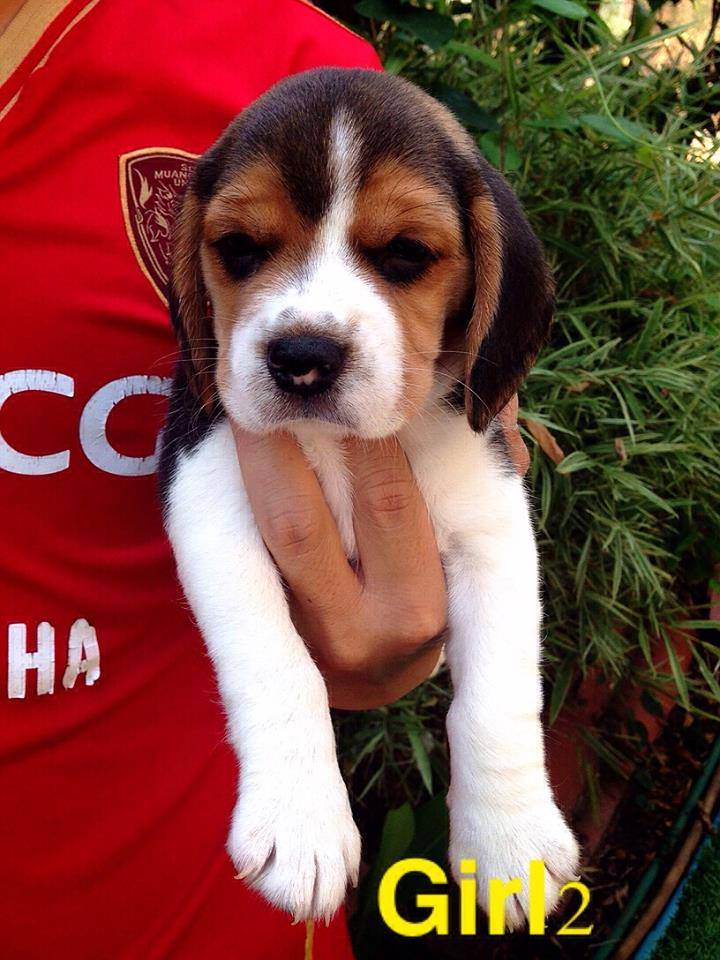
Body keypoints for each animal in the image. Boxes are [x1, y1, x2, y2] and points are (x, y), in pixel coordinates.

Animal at [158, 67, 579, 928]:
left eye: (406, 254)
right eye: (239, 249)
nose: (302, 356)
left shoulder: (493, 524)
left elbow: (497, 698)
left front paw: (511, 837)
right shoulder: (208, 503)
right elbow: (277, 665)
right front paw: (300, 823)